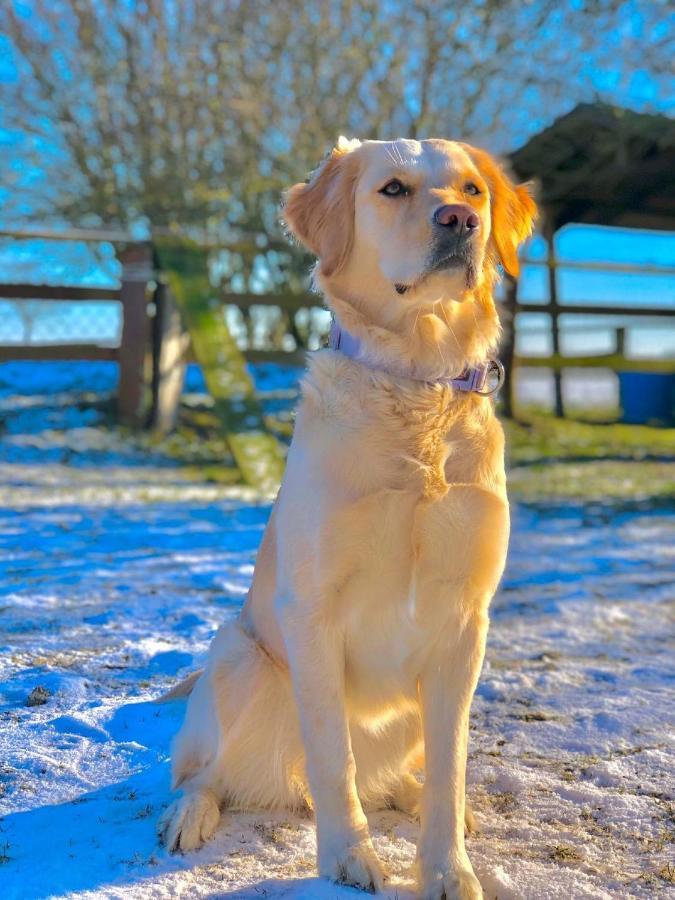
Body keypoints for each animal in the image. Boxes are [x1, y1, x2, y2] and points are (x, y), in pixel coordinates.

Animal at [160, 135, 540, 900]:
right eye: (392, 189)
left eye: (472, 190)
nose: (459, 221)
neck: (418, 381)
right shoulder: (312, 608)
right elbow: (332, 756)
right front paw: (346, 859)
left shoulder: (466, 621)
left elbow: (452, 768)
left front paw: (447, 867)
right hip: (239, 658)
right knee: (203, 772)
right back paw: (190, 813)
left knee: (402, 777)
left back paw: (420, 799)